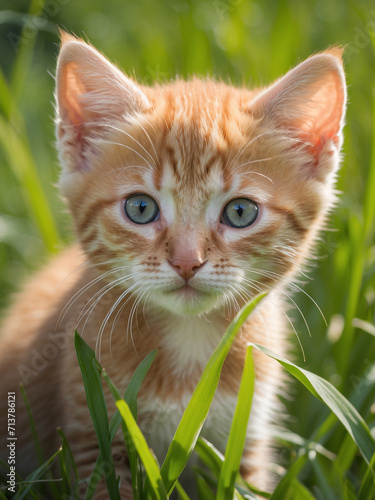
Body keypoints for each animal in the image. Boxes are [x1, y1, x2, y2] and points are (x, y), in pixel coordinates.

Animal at [0, 33, 346, 498]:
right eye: (140, 208)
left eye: (240, 212)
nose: (186, 261)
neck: (190, 340)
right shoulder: (94, 441)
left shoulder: (247, 439)